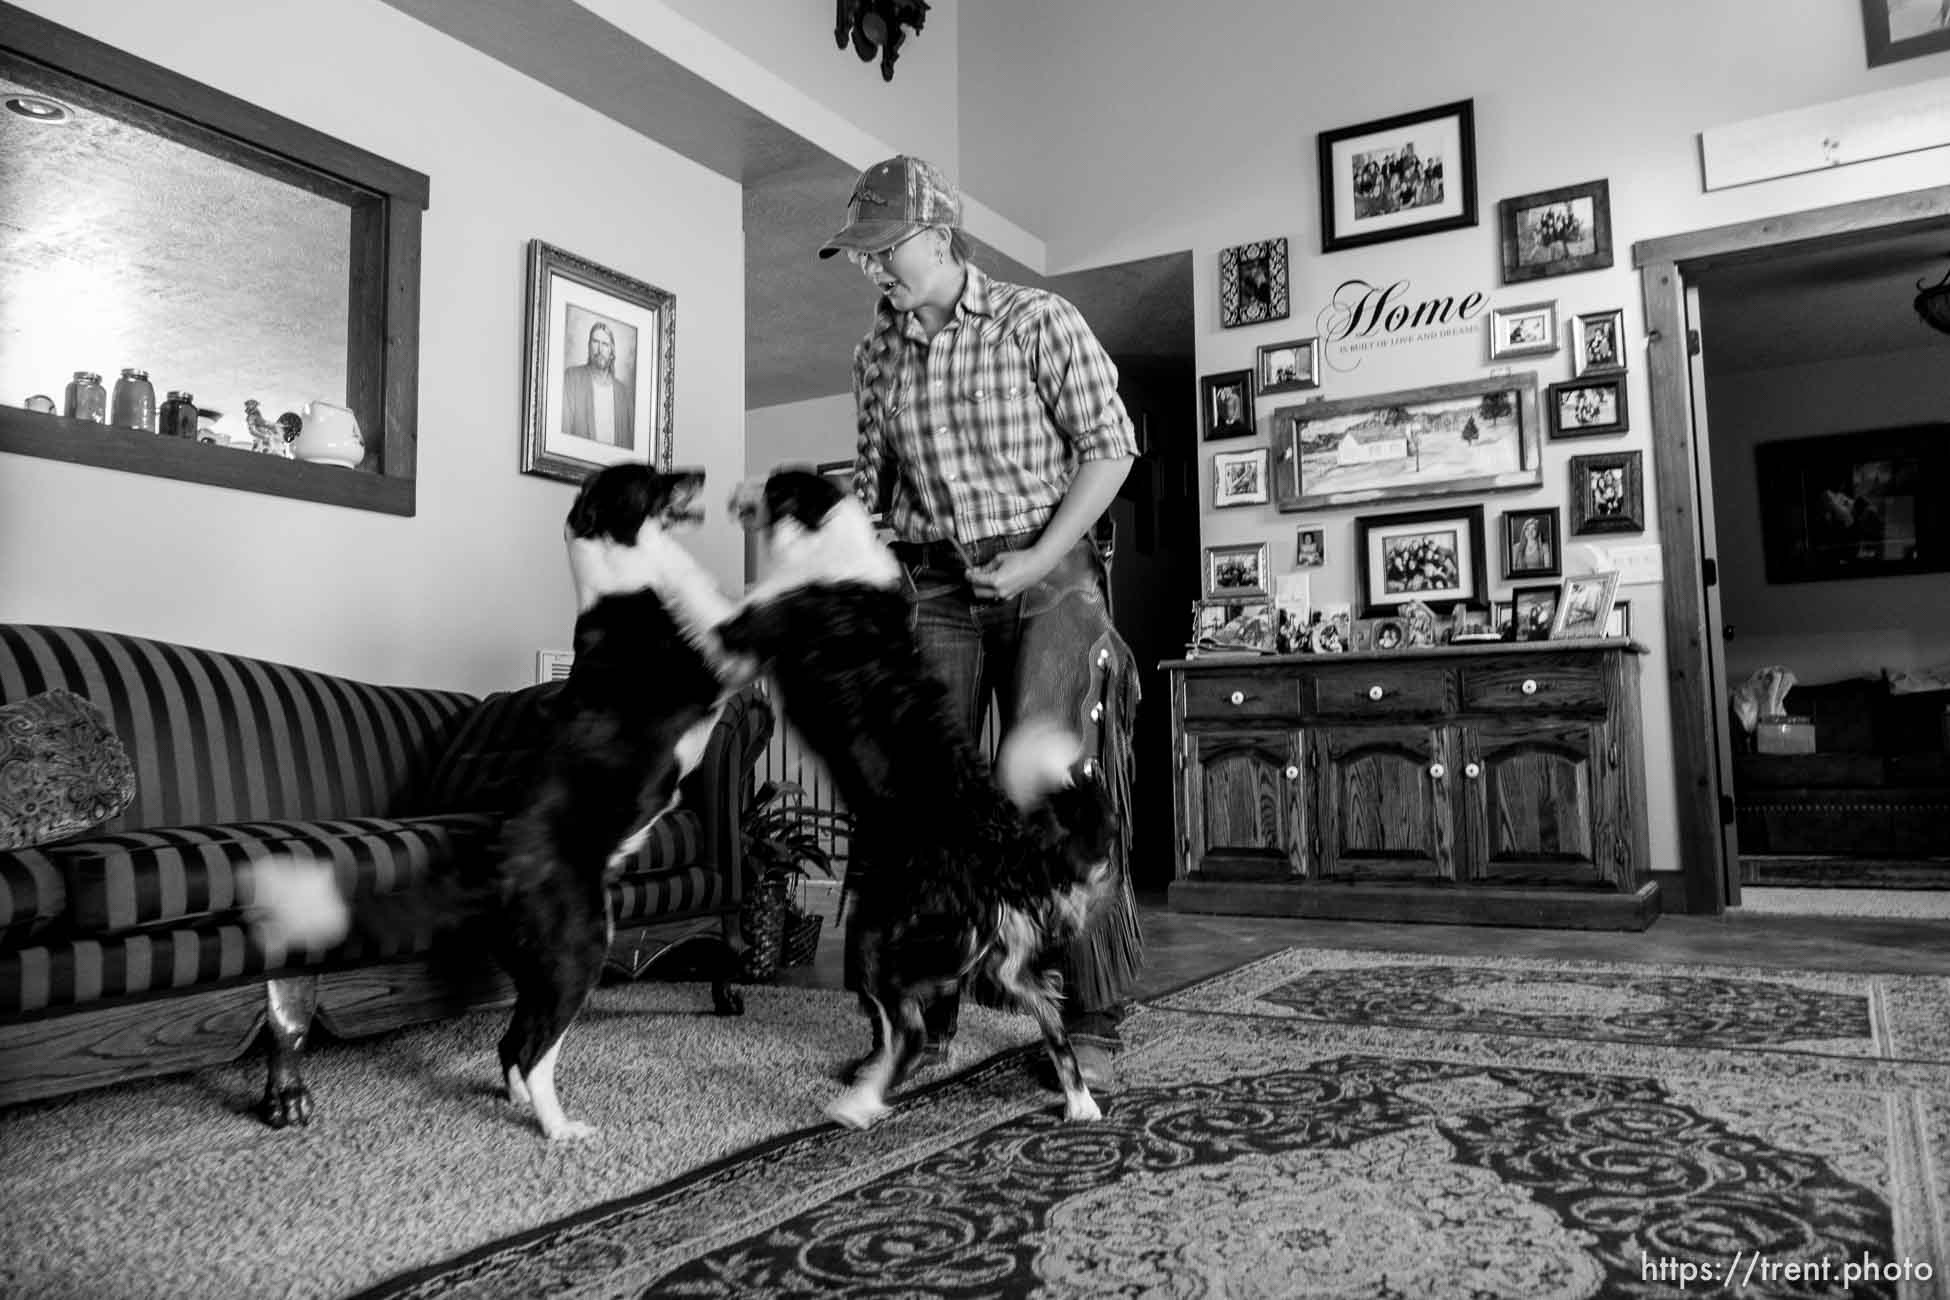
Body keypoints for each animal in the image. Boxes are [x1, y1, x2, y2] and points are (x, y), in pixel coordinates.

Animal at [255, 465, 741, 1138]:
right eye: (650, 477)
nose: (699, 471)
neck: (627, 575)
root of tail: (499, 866)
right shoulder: (717, 653)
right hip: (578, 950)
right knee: (533, 1049)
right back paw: (559, 1128)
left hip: (541, 964)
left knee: (512, 1043)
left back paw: (518, 1103)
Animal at [721, 467, 1123, 1130]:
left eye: (775, 482)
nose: (735, 490)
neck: (828, 535)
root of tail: (1006, 852)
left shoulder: (752, 624)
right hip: (1001, 962)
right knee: (1050, 1016)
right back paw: (1082, 1105)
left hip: (878, 938)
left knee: (907, 1032)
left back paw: (856, 1106)